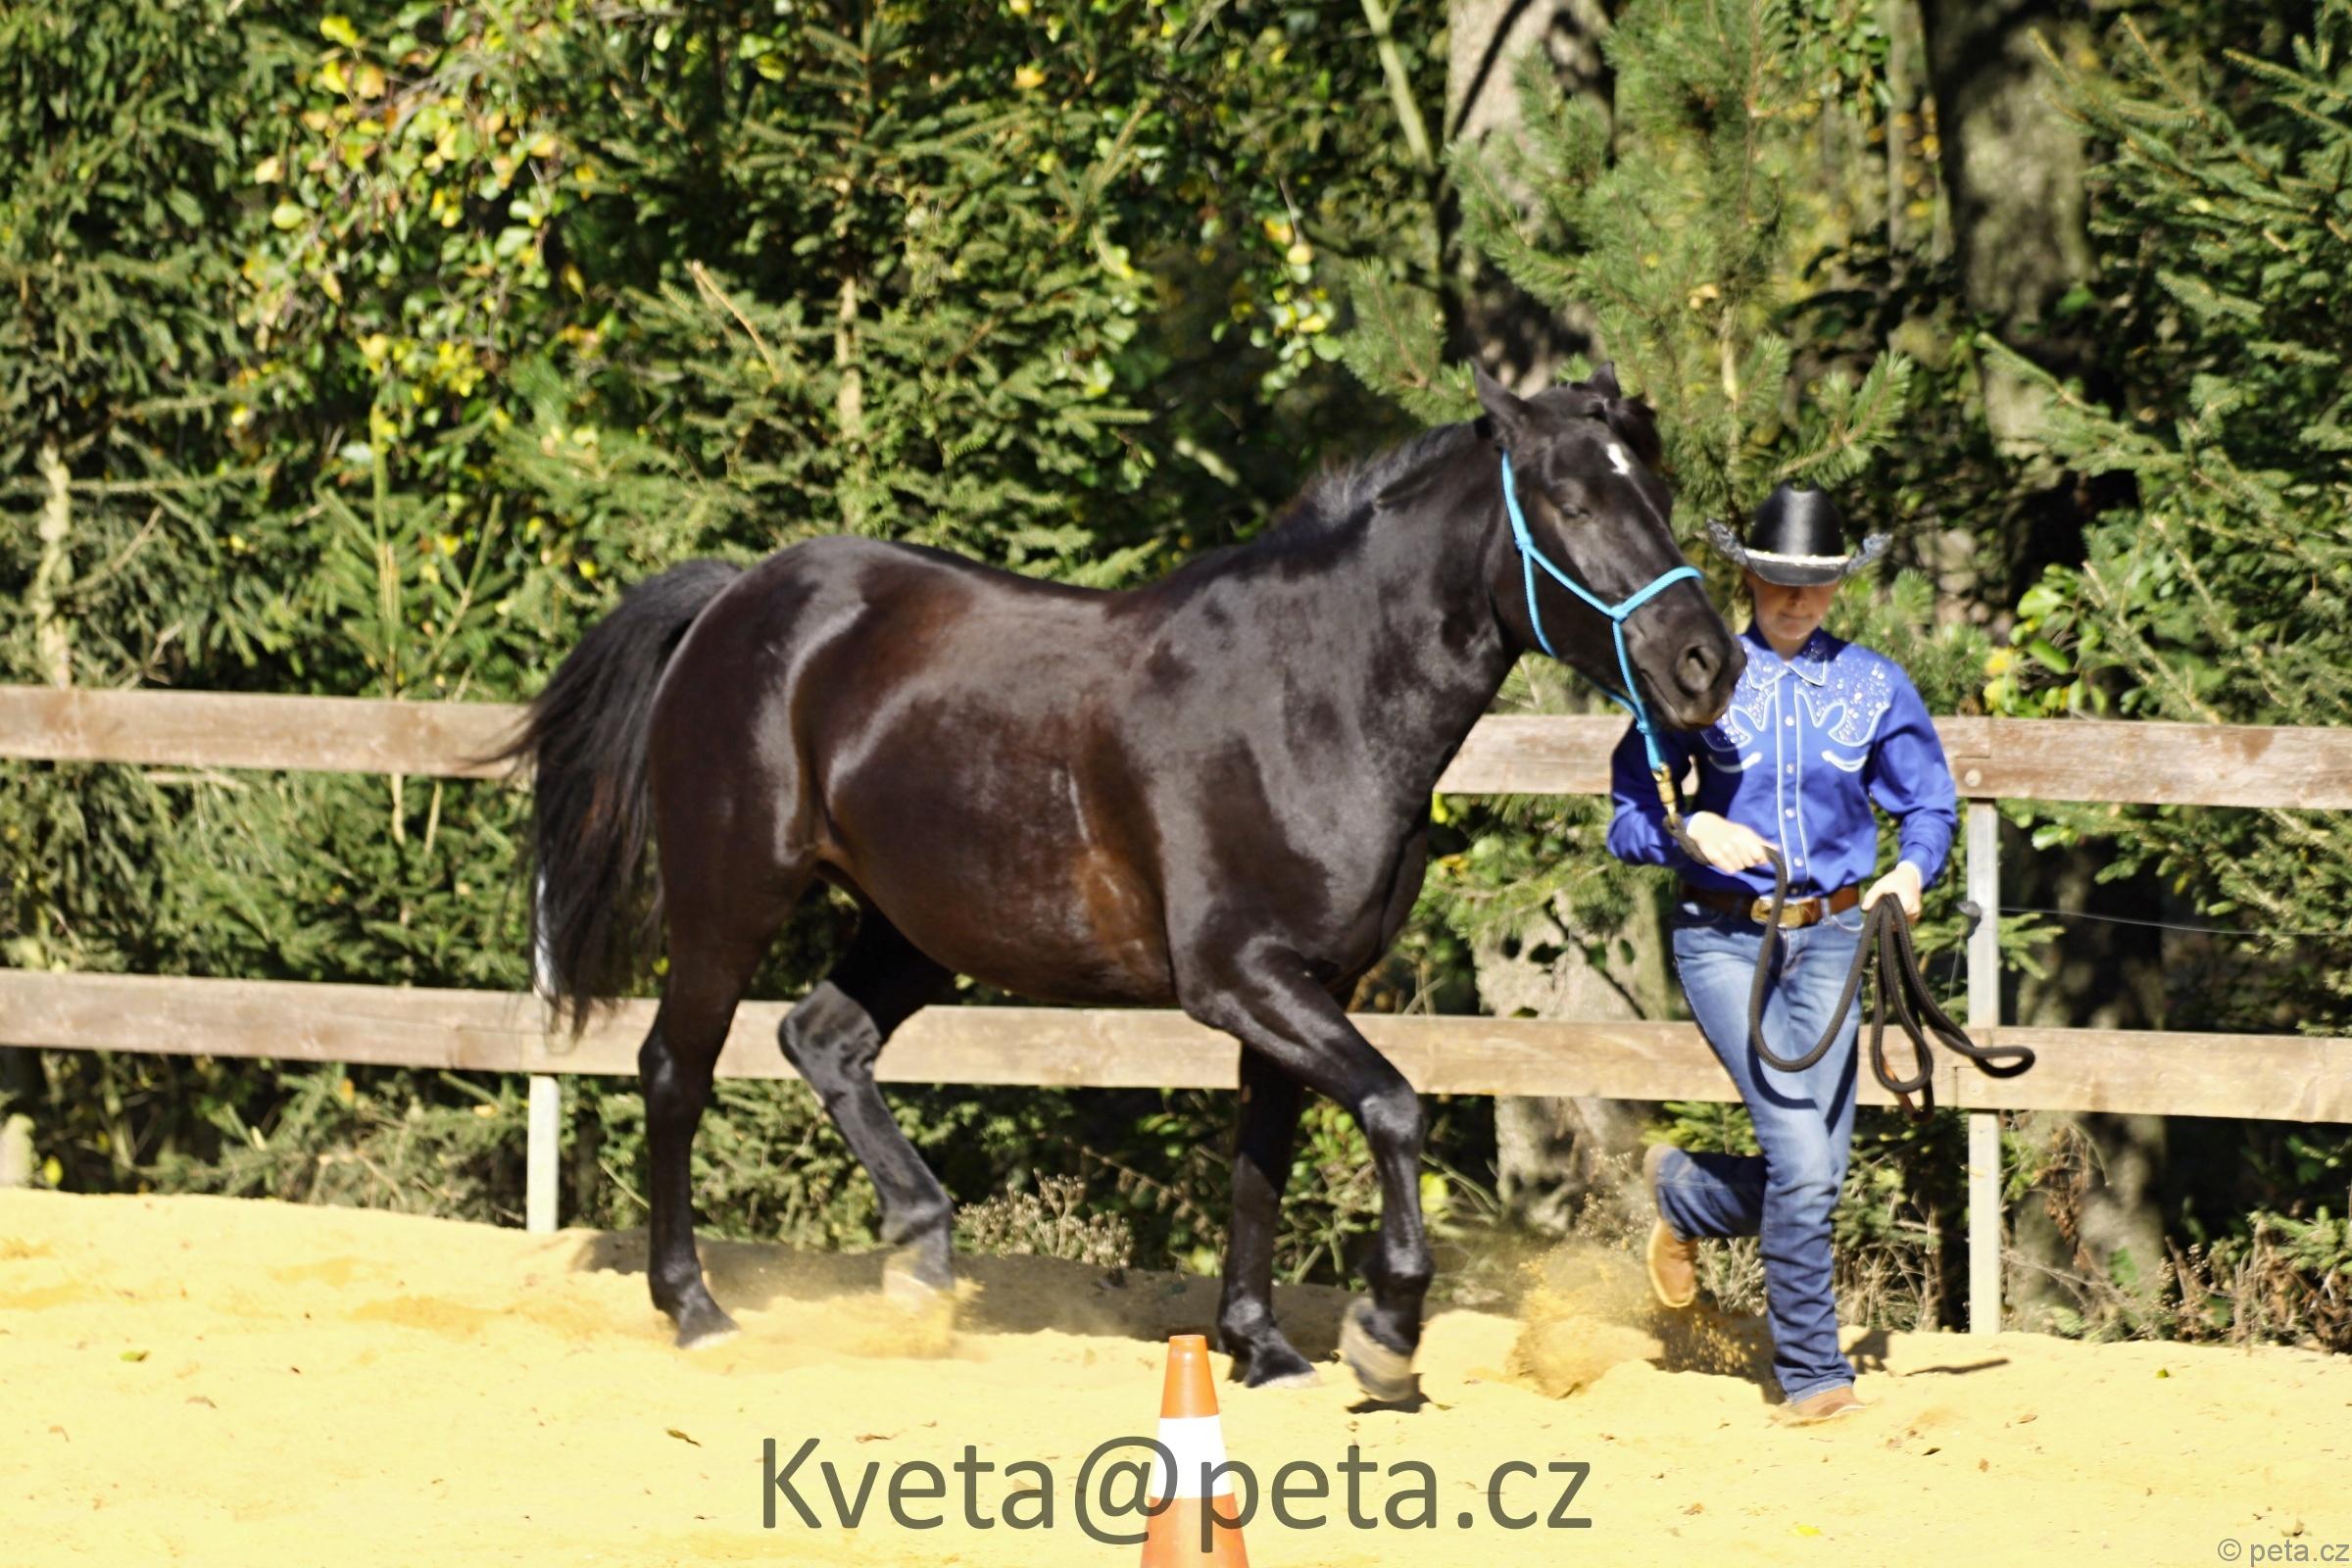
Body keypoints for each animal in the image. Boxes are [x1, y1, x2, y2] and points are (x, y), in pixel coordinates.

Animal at [505, 364, 1742, 1401]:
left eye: (1659, 494)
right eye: (1570, 504)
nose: (1707, 665)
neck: (1312, 695)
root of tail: (736, 600)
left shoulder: (1305, 985)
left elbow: (1260, 1163)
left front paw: (1261, 1346)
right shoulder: (1238, 977)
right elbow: (1396, 1105)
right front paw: (1385, 1333)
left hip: (917, 926)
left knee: (822, 1039)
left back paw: (923, 1264)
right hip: (732, 897)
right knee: (677, 1070)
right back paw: (698, 1308)